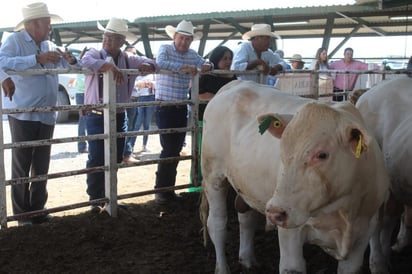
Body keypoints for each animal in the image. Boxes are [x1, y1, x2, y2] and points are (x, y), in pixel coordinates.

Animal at [202, 79, 390, 274]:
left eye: (322, 154)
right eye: (282, 149)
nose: (275, 212)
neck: (344, 209)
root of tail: (236, 83)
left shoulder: (363, 234)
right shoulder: (290, 233)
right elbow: (292, 267)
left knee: (246, 217)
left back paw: (247, 259)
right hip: (213, 176)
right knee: (216, 224)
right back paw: (222, 267)